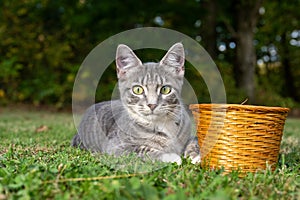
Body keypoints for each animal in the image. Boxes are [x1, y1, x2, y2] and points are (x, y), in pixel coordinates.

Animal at [71, 43, 200, 165]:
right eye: (138, 90)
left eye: (165, 89)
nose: (152, 105)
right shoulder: (115, 146)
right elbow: (141, 149)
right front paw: (170, 156)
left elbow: (194, 141)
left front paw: (196, 155)